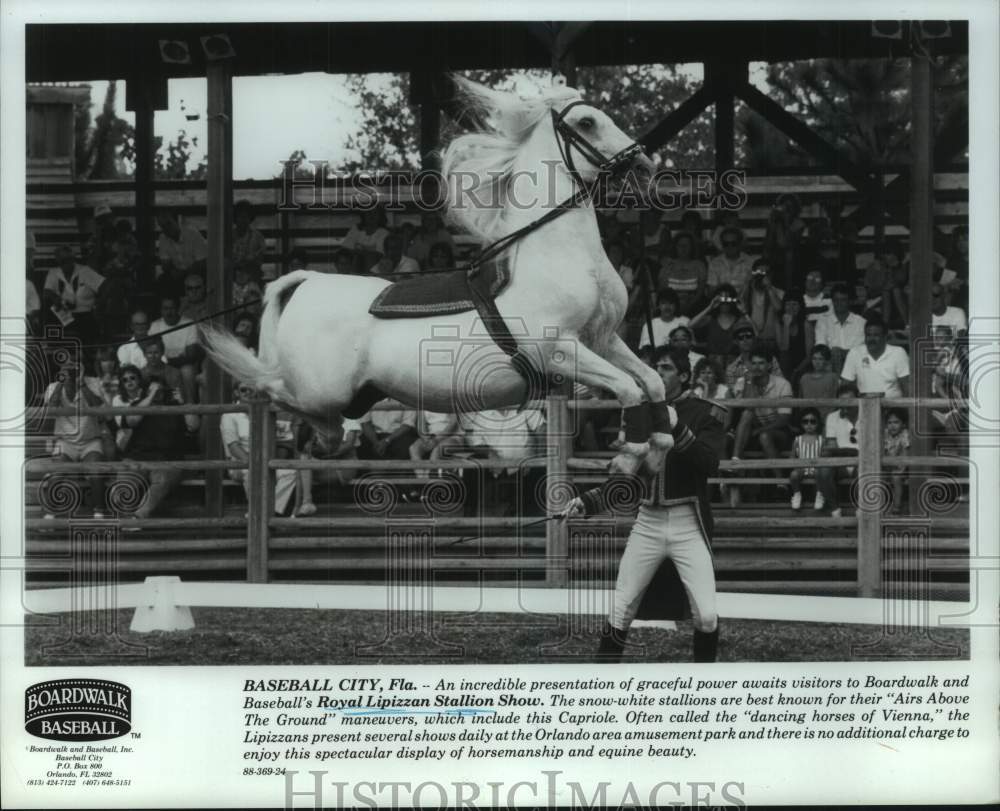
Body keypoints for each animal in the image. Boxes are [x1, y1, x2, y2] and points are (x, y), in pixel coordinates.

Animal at [203, 79, 672, 466]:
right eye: (587, 122)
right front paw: (629, 453)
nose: (646, 168)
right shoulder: (559, 350)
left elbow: (652, 381)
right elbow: (628, 387)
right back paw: (316, 431)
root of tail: (307, 281)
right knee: (272, 390)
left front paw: (660, 443)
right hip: (318, 389)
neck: (557, 256)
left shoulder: (603, 339)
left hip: (350, 392)